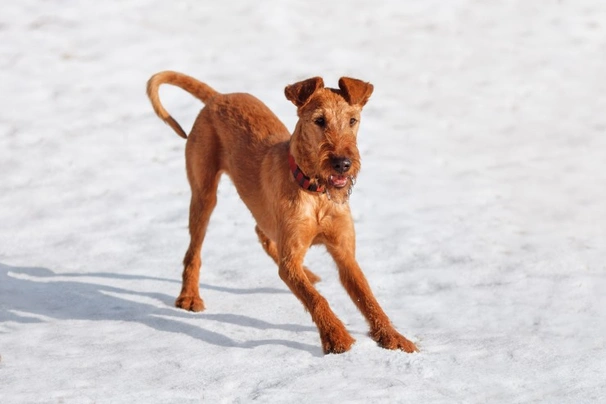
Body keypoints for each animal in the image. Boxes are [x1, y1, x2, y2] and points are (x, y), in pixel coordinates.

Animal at [147, 72, 420, 354]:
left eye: (352, 120)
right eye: (319, 121)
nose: (343, 164)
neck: (315, 193)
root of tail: (218, 97)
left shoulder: (344, 254)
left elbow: (368, 298)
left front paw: (393, 336)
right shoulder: (289, 264)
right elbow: (315, 298)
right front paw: (336, 336)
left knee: (262, 231)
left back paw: (308, 273)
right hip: (204, 195)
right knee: (194, 252)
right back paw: (189, 296)